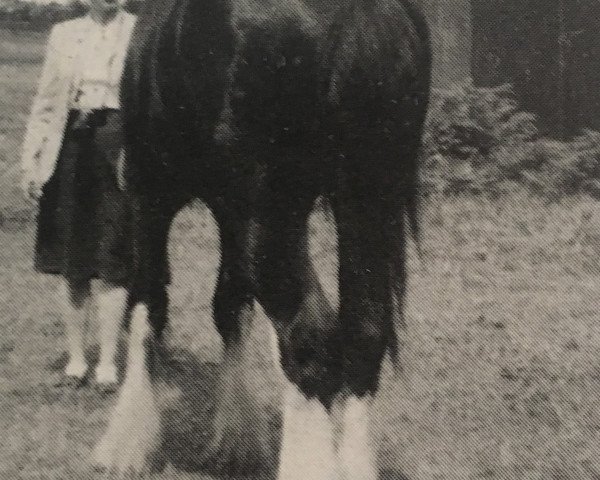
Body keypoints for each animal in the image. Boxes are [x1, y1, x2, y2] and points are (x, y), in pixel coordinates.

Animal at [92, 0, 432, 476]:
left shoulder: (151, 187)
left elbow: (147, 301)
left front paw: (126, 444)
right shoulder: (232, 207)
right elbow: (230, 304)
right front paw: (238, 439)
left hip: (268, 212)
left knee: (308, 338)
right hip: (362, 201)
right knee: (365, 331)